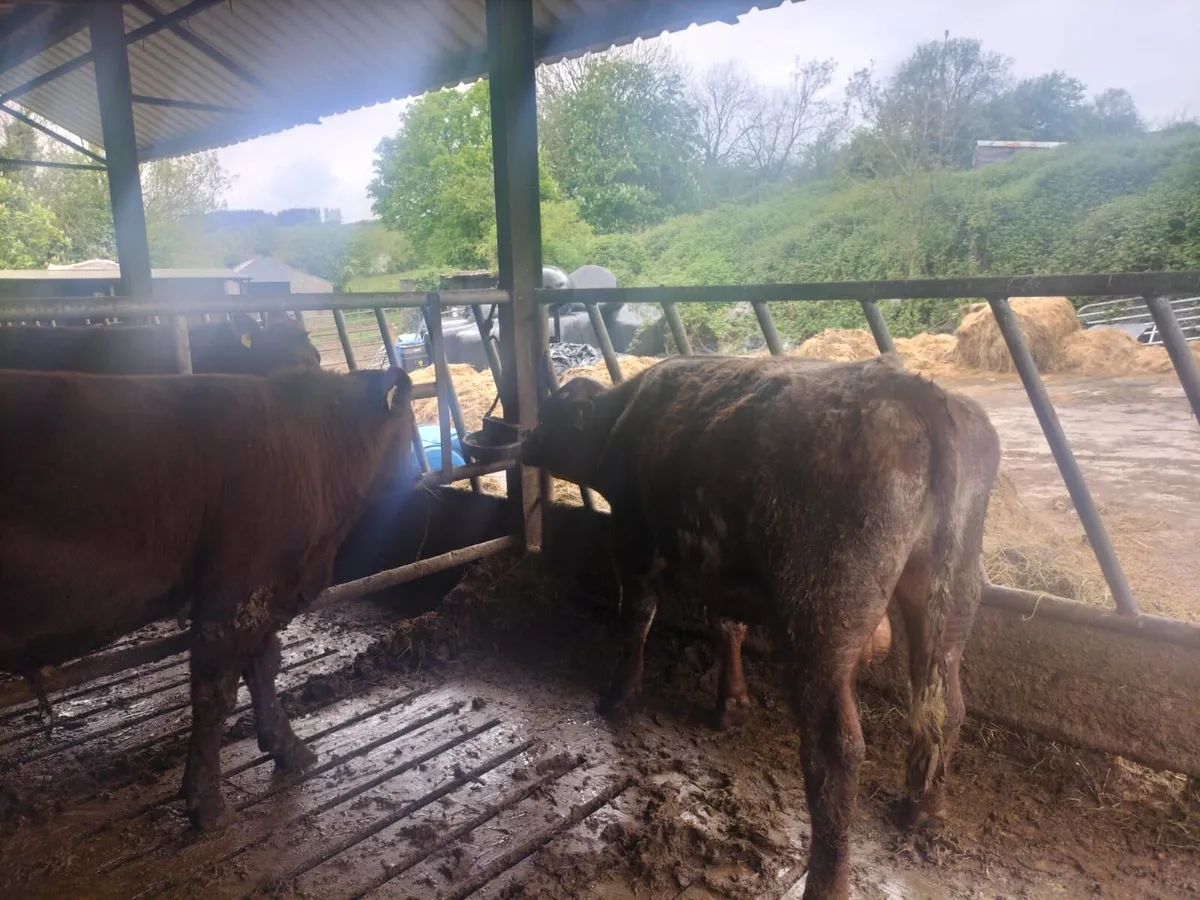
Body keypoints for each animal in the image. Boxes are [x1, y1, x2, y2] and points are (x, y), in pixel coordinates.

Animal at [0, 365, 415, 829]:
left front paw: (287, 748)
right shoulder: (235, 591)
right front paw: (206, 801)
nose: (418, 474)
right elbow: (214, 693)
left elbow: (263, 668)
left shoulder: (262, 597)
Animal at [520, 353, 1001, 900]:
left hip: (824, 623)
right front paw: (731, 702)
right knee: (947, 709)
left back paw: (827, 881)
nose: (523, 439)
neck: (624, 420)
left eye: (552, 414)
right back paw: (925, 808)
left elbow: (637, 619)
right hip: (951, 597)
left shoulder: (632, 540)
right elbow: (728, 626)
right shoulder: (721, 569)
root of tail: (915, 391)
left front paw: (620, 695)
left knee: (835, 750)